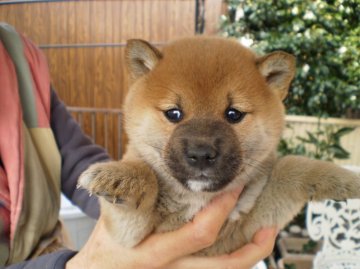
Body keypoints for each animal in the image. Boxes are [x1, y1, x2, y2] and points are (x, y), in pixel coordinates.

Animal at [79, 36, 360, 254]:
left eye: (233, 114)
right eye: (174, 113)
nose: (201, 154)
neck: (197, 198)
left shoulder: (248, 224)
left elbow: (290, 166)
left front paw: (344, 179)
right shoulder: (130, 236)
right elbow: (145, 174)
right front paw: (122, 177)